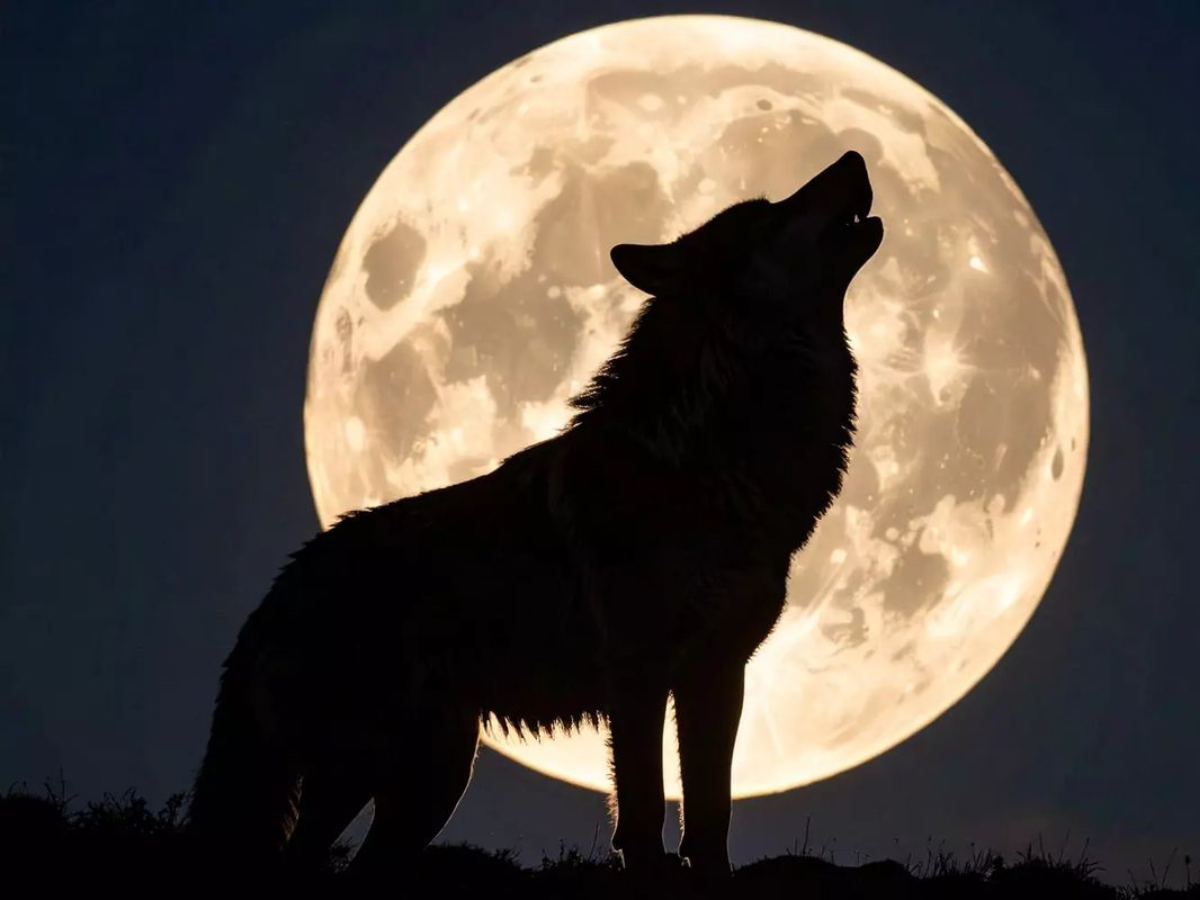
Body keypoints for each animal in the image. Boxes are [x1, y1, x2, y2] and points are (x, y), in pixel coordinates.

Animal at [188, 151, 883, 875]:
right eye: (768, 215)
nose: (855, 155)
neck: (712, 457)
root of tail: (277, 589)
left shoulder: (717, 673)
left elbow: (711, 816)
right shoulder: (637, 673)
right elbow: (642, 814)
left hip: (430, 783)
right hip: (367, 767)